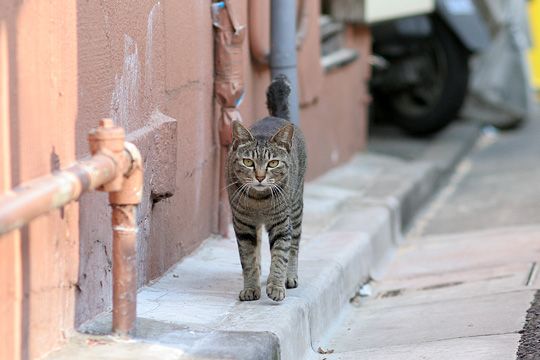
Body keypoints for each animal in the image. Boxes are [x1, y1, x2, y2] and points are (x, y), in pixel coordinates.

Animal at [226, 75, 306, 300]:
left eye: (273, 163)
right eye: (248, 162)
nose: (260, 177)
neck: (258, 201)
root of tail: (276, 117)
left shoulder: (281, 223)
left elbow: (280, 254)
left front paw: (276, 285)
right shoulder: (242, 224)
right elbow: (248, 258)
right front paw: (251, 288)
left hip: (296, 208)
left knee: (294, 245)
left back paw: (290, 276)